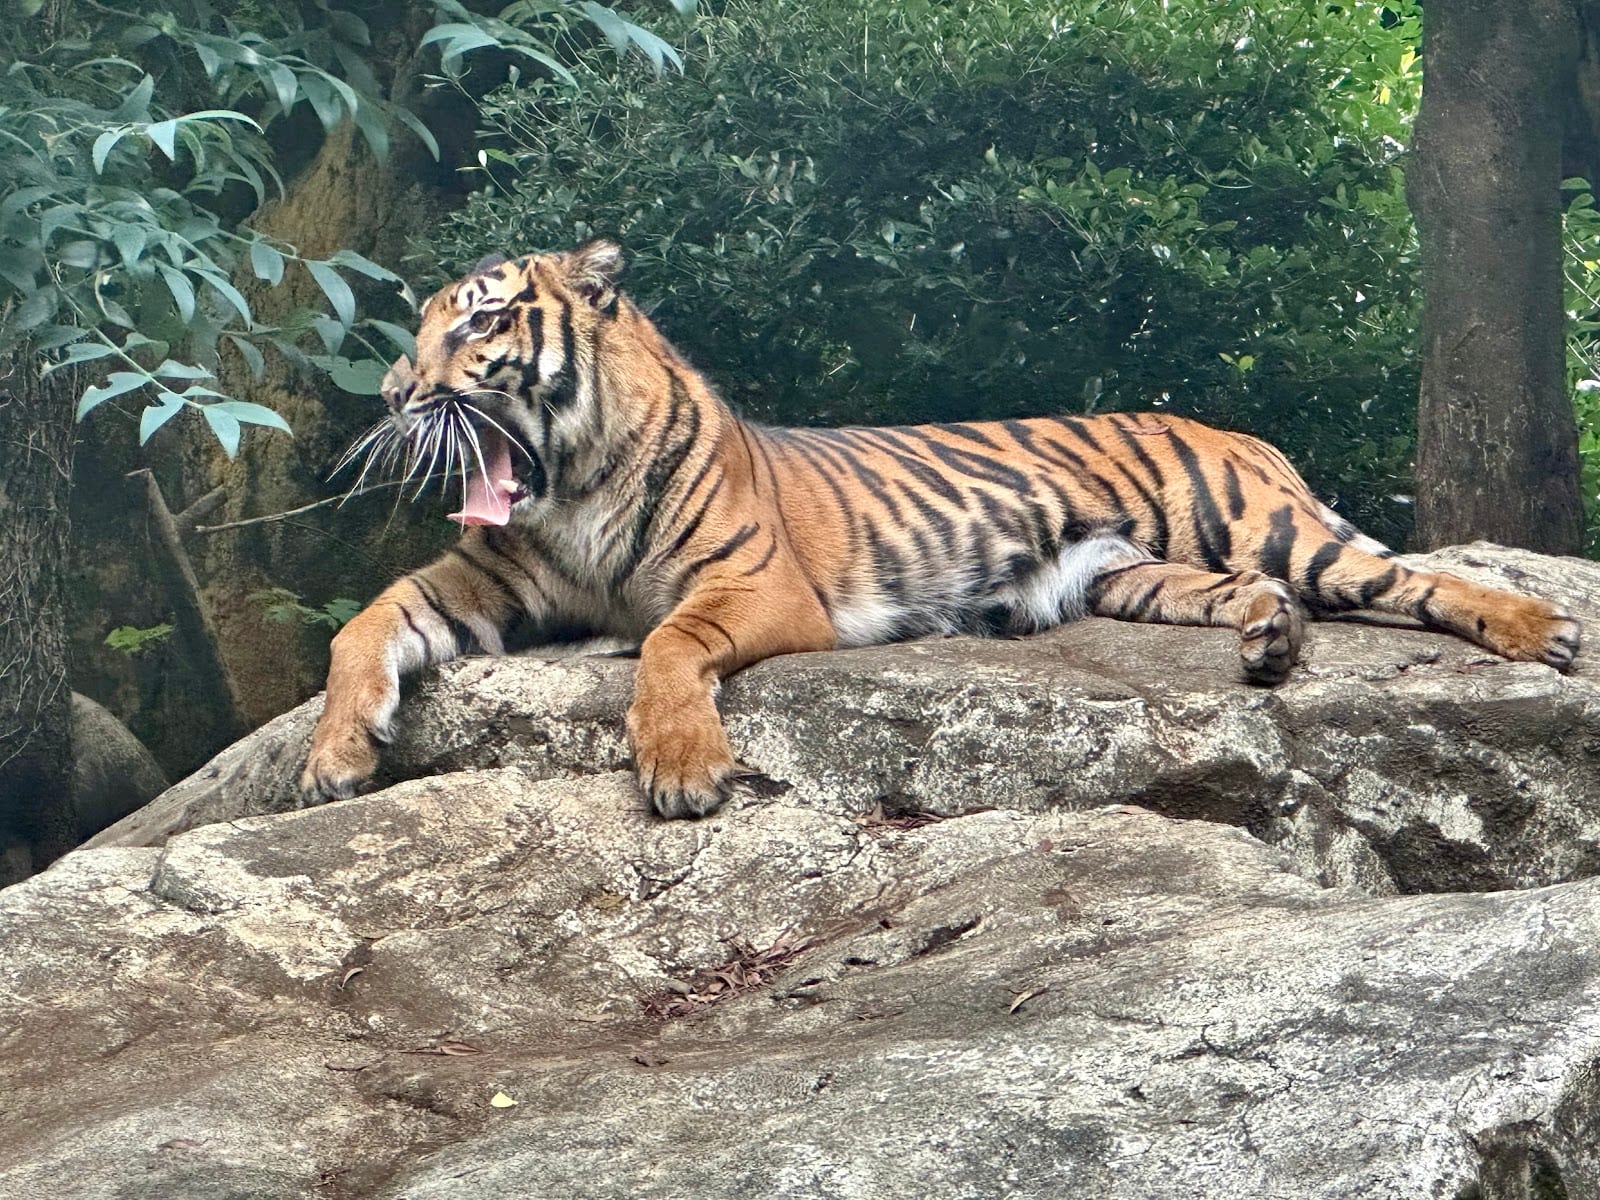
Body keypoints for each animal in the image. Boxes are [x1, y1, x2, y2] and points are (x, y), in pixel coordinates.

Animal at [301, 239, 1582, 818]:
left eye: (475, 326)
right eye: (416, 332)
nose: (392, 396)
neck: (566, 483)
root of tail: (1234, 429)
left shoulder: (756, 589)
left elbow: (664, 645)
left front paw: (681, 768)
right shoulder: (479, 581)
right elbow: (363, 623)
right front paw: (335, 753)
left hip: (1261, 526)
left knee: (1405, 577)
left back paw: (1540, 630)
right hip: (1131, 576)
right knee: (1257, 600)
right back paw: (1270, 645)